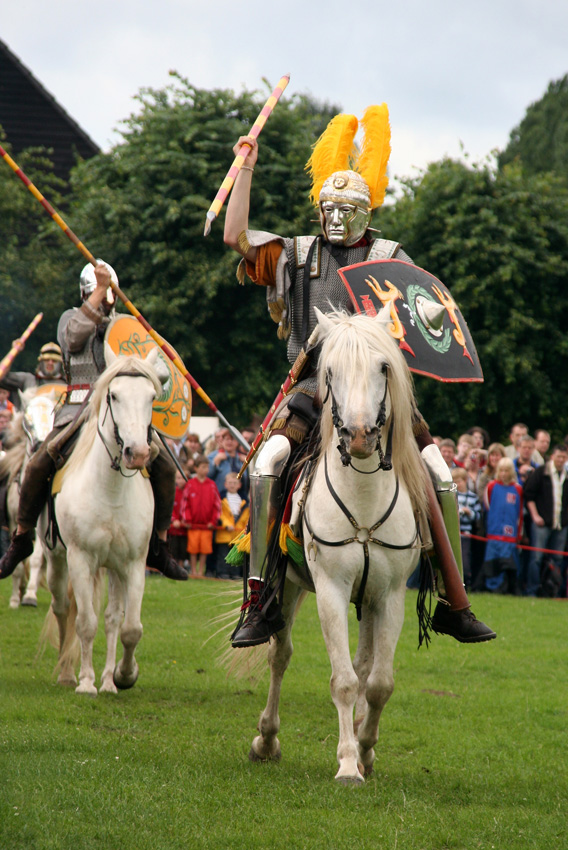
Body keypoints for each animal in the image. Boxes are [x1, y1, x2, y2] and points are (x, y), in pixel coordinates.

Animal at [42, 346, 166, 696]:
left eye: (152, 396)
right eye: (113, 395)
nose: (138, 453)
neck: (110, 491)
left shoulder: (132, 565)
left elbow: (129, 627)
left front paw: (123, 676)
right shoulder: (81, 559)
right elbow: (85, 622)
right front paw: (86, 683)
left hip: (112, 568)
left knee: (111, 618)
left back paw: (109, 680)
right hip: (57, 560)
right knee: (63, 608)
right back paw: (67, 673)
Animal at [246, 310, 428, 780]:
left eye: (383, 367)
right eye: (330, 371)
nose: (361, 436)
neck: (363, 498)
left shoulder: (389, 595)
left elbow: (378, 682)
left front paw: (364, 748)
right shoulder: (330, 589)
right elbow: (343, 681)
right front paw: (348, 763)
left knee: (363, 666)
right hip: (289, 585)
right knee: (280, 655)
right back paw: (266, 739)